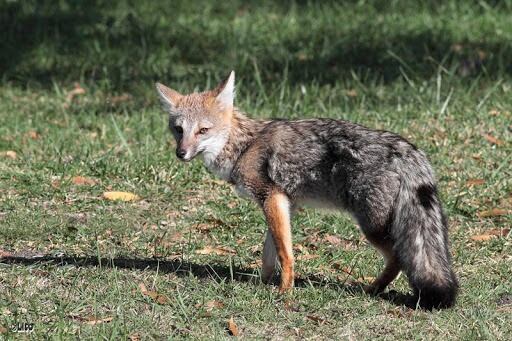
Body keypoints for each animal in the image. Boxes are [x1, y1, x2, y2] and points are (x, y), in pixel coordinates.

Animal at [154, 70, 458, 306]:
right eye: (179, 130)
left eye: (203, 130)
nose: (181, 153)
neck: (244, 145)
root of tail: (408, 150)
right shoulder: (284, 202)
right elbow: (270, 252)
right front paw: (263, 283)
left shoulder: (271, 197)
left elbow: (285, 253)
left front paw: (284, 291)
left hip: (372, 228)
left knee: (398, 259)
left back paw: (371, 289)